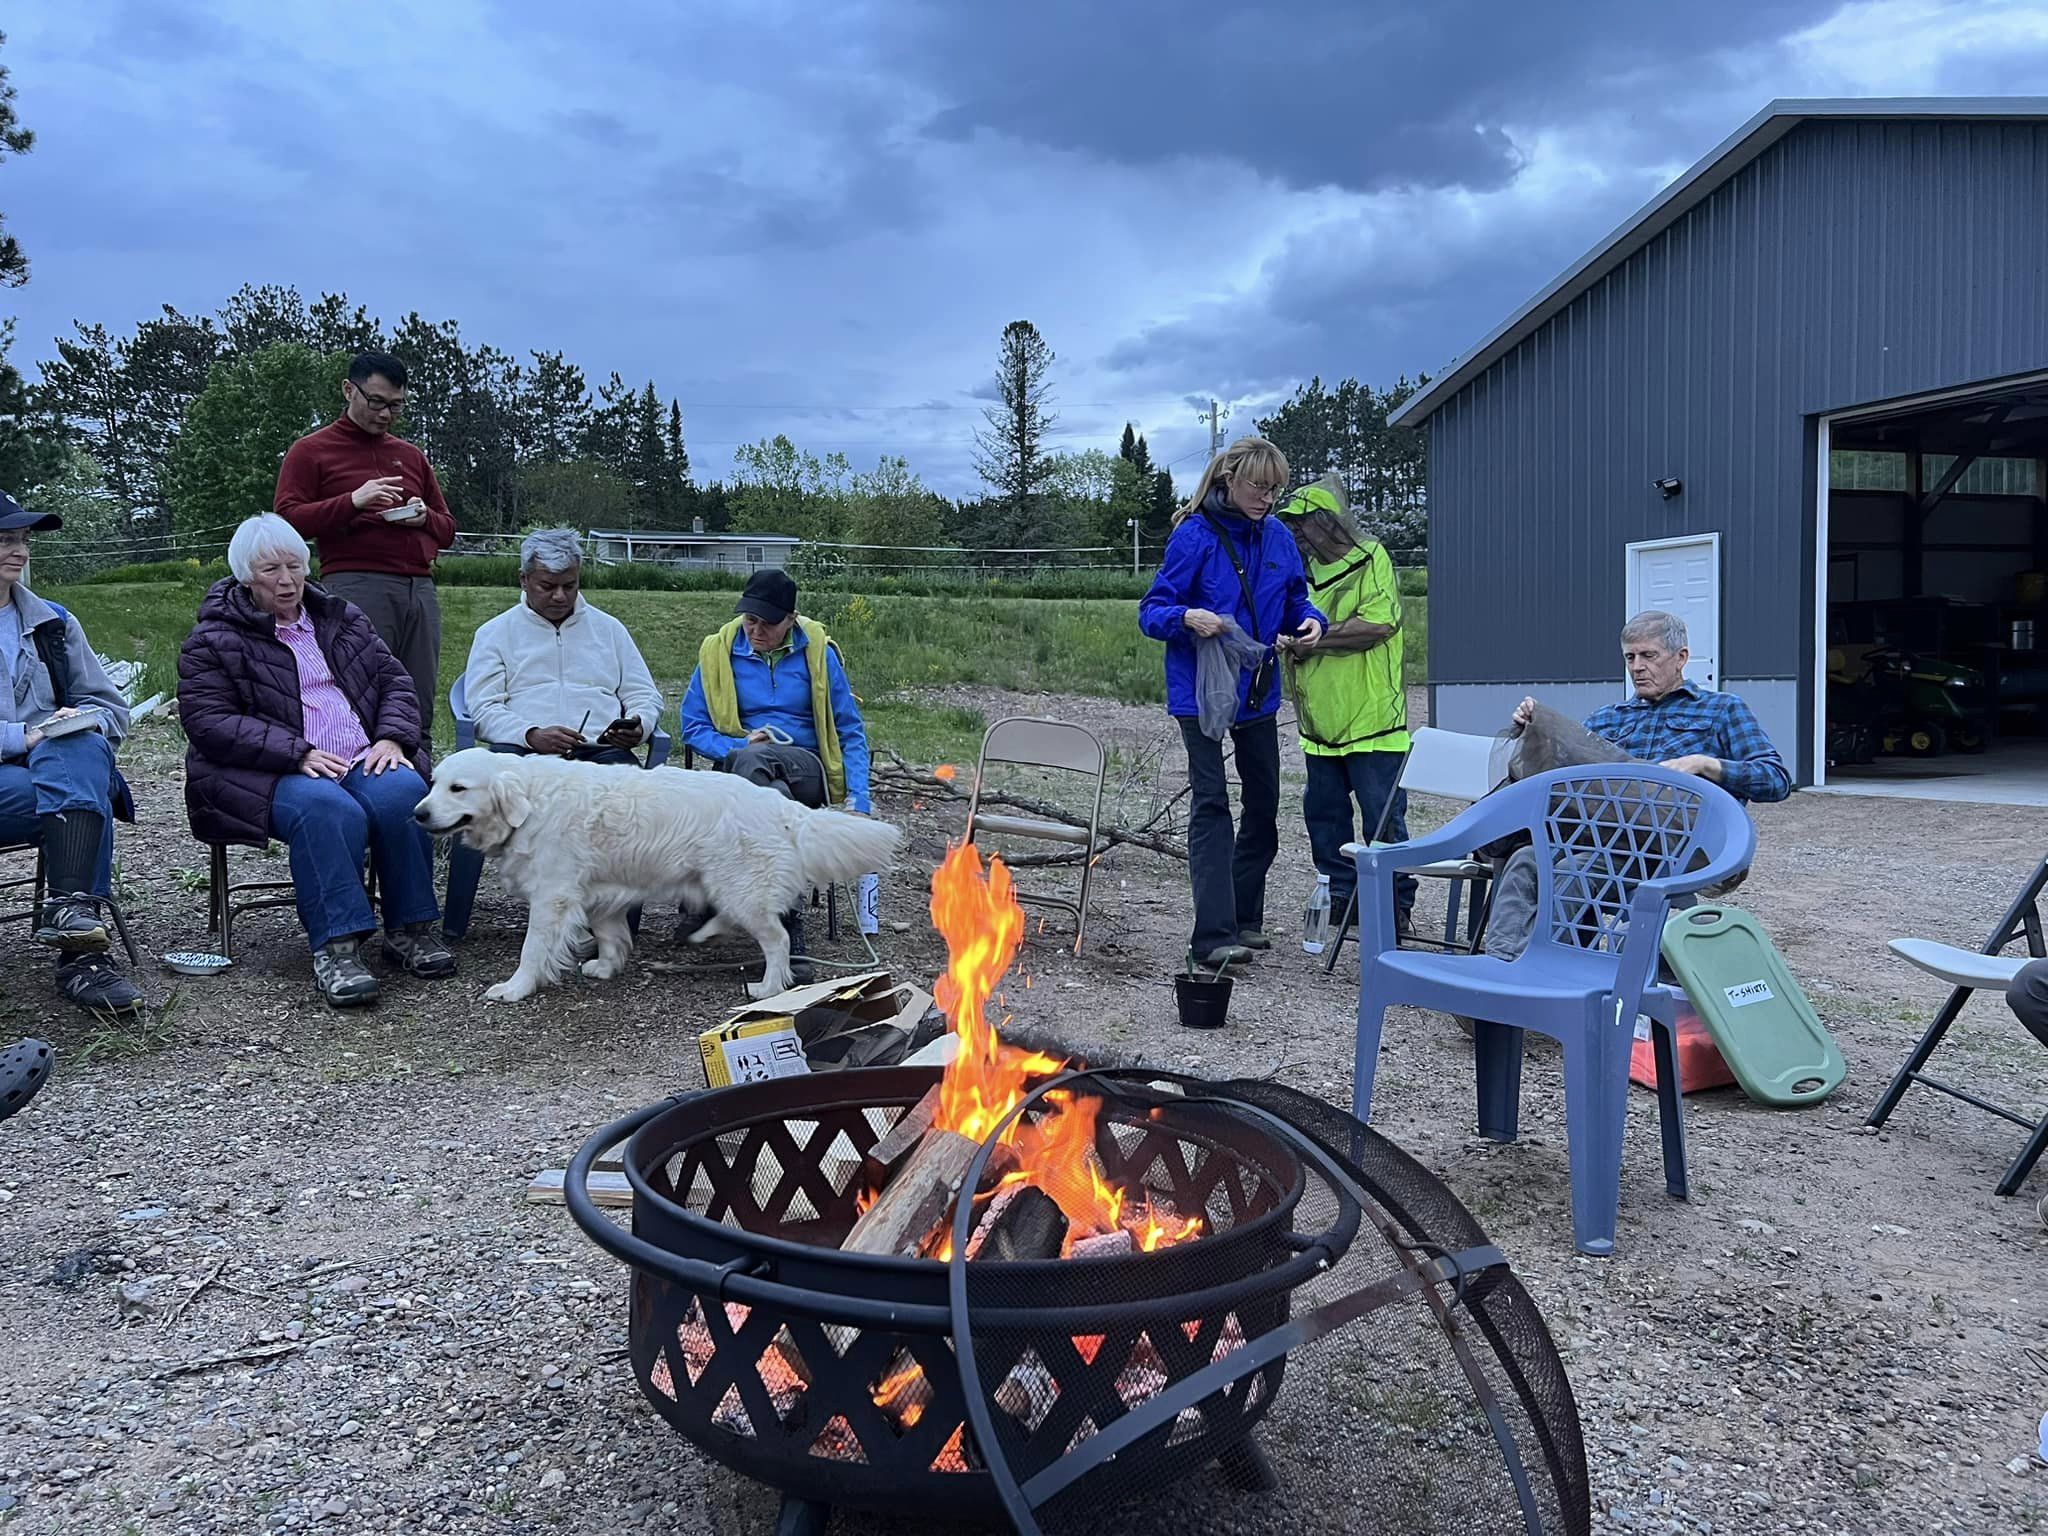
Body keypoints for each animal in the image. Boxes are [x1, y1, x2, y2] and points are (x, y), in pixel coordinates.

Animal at [413, 748, 901, 1003]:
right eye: (433, 783)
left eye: (459, 788)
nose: (418, 814)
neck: (531, 802)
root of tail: (783, 805)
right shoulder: (598, 892)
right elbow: (609, 935)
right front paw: (606, 966)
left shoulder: (553, 896)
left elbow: (533, 949)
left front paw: (515, 988)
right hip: (723, 884)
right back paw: (705, 935)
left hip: (738, 886)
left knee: (777, 938)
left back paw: (766, 986)